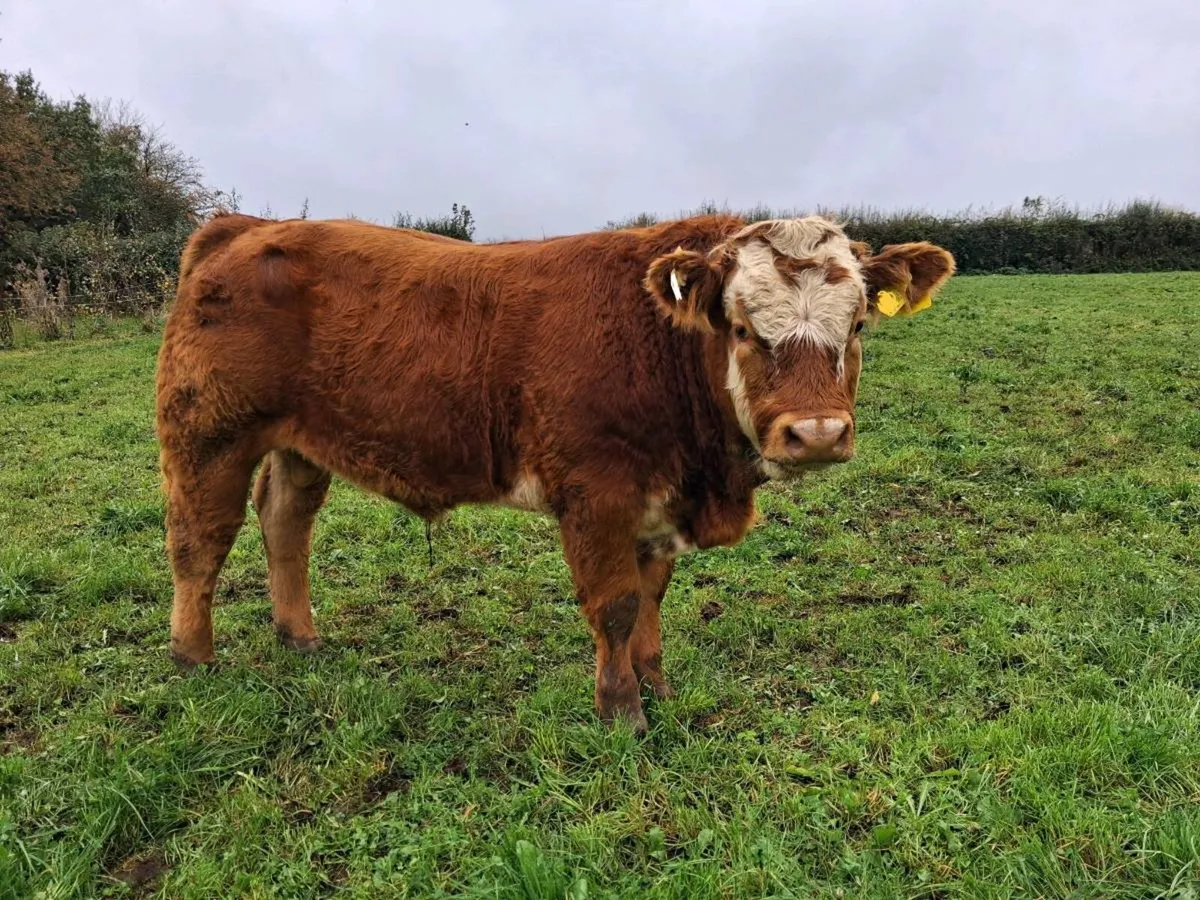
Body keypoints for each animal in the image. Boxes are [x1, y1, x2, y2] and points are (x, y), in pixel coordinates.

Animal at [155, 211, 954, 733]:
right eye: (742, 329)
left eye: (858, 325)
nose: (817, 434)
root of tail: (245, 224)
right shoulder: (596, 494)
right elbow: (617, 605)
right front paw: (621, 712)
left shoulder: (656, 501)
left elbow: (652, 598)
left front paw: (656, 684)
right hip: (209, 430)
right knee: (201, 538)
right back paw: (194, 658)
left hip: (301, 442)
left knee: (285, 522)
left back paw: (300, 638)